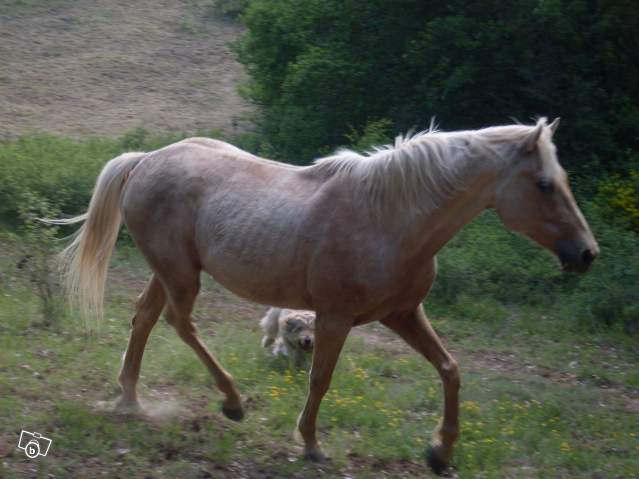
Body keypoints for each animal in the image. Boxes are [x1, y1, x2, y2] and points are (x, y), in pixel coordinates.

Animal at [55, 118, 600, 474]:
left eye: (562, 180)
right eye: (544, 184)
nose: (587, 253)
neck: (389, 219)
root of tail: (146, 160)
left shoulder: (403, 314)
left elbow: (450, 369)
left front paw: (440, 453)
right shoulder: (333, 317)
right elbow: (320, 379)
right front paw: (311, 445)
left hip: (169, 271)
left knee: (145, 319)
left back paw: (130, 399)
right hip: (181, 274)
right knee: (178, 322)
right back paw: (232, 402)